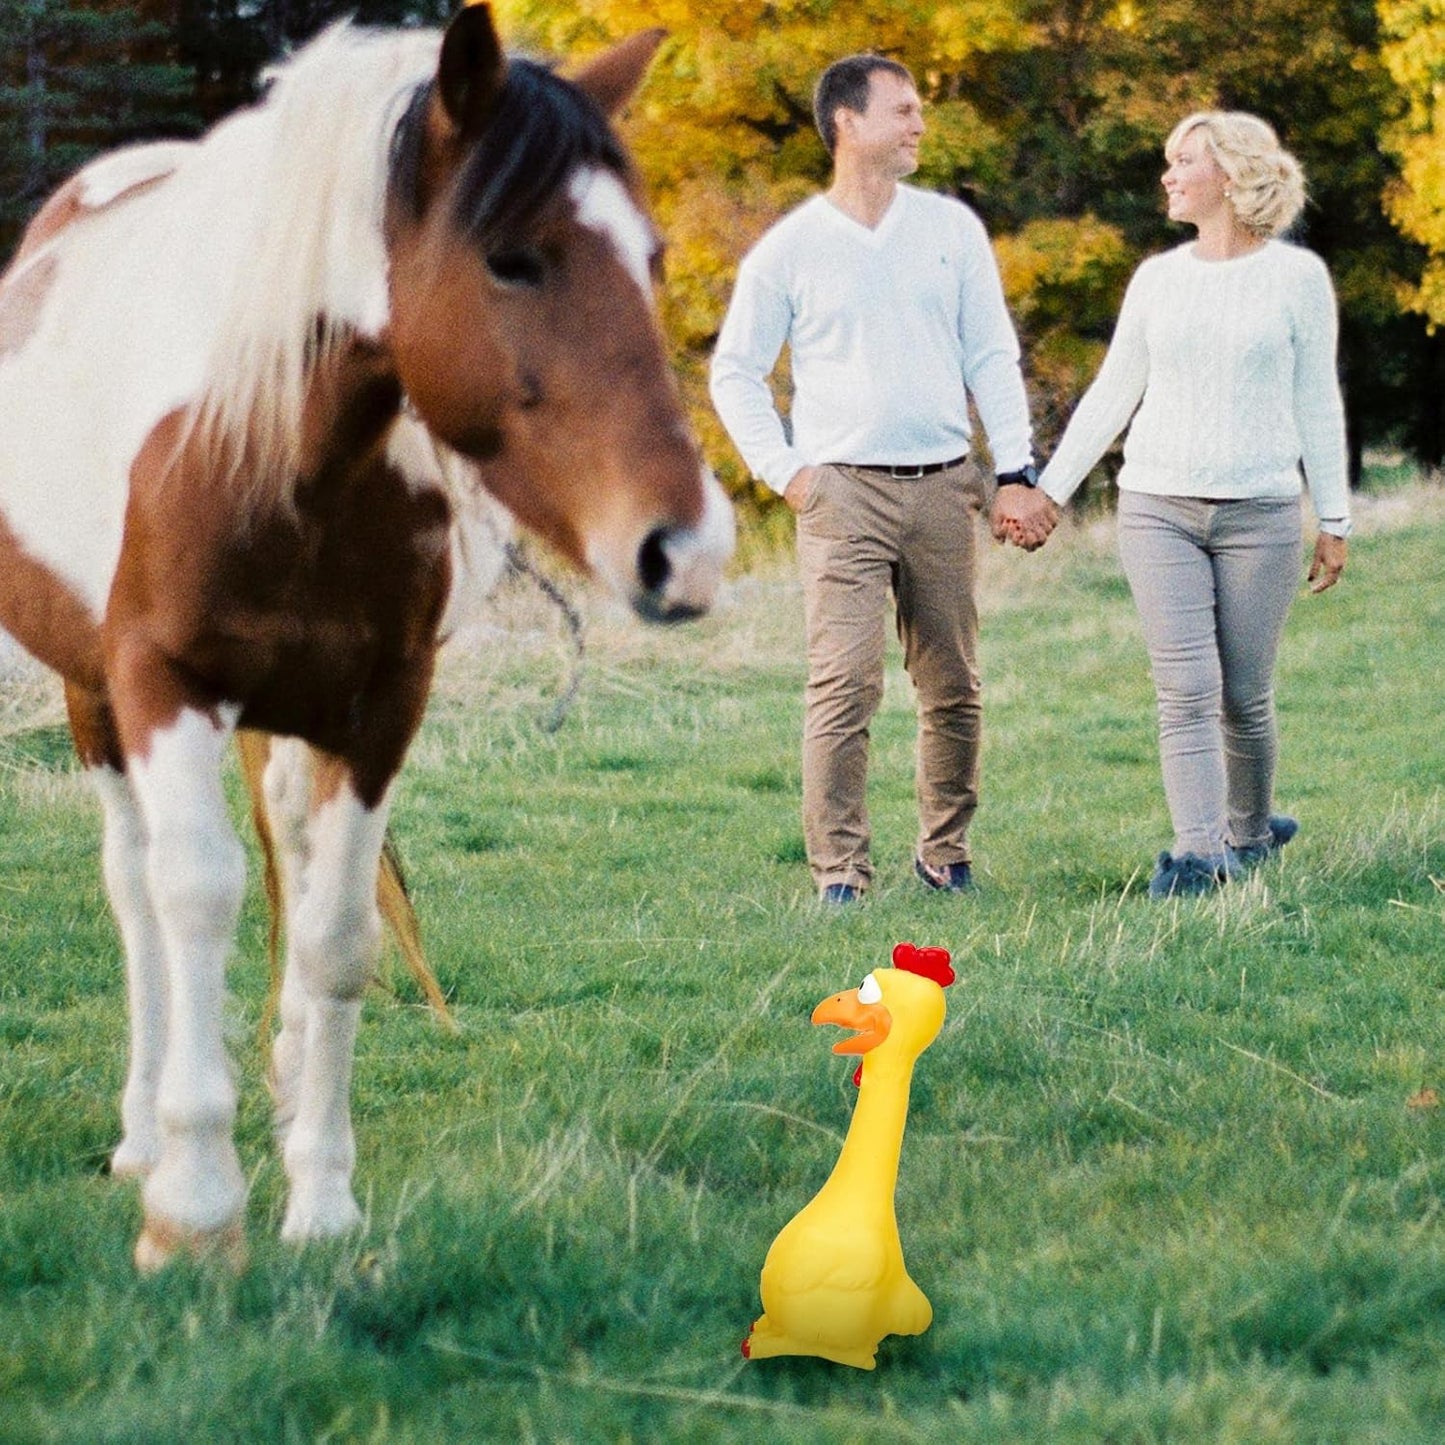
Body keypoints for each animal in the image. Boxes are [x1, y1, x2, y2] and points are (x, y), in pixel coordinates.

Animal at [0, 4, 734, 1270]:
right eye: (512, 255)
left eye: (648, 256)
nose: (681, 549)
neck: (269, 448)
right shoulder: (161, 685)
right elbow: (192, 896)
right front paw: (195, 1209)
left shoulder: (380, 707)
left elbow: (338, 934)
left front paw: (322, 1198)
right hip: (93, 699)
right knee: (136, 890)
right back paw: (143, 1133)